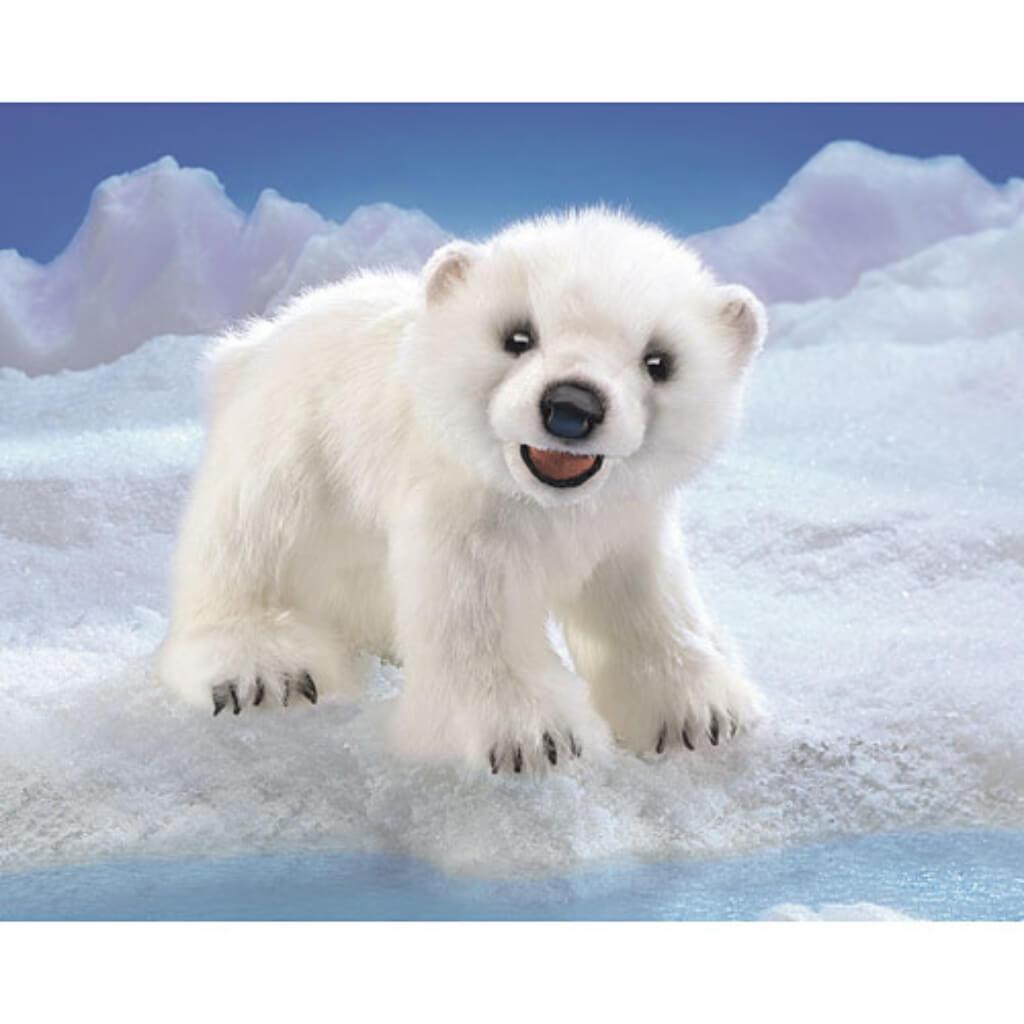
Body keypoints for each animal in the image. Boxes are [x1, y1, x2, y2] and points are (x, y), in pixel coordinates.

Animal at [158, 208, 767, 773]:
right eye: (518, 336)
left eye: (659, 361)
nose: (572, 405)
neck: (549, 505)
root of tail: (252, 342)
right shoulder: (465, 514)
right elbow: (476, 615)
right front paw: (533, 738)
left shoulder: (627, 521)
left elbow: (649, 599)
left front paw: (701, 715)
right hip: (294, 446)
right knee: (248, 540)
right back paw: (264, 669)